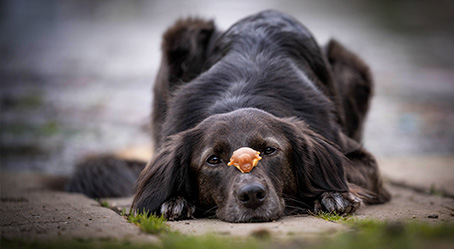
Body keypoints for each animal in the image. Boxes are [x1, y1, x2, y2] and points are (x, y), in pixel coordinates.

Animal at [67, 10, 390, 224]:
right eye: (212, 160)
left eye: (269, 151)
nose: (252, 195)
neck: (241, 94)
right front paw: (175, 200)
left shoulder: (359, 158)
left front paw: (333, 195)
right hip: (184, 34)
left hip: (352, 66)